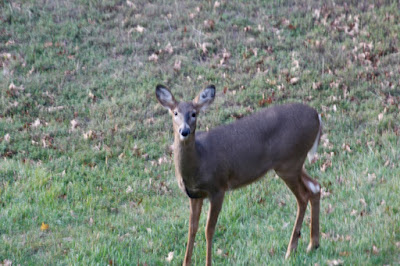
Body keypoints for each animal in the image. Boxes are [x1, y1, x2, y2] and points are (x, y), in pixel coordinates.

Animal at [155, 84, 324, 264]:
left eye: (194, 113)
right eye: (175, 113)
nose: (184, 131)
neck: (199, 161)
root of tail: (317, 116)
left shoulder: (218, 187)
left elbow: (209, 230)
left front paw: (208, 263)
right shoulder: (195, 195)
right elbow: (192, 228)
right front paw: (186, 263)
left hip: (289, 162)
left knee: (303, 197)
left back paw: (291, 251)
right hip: (294, 164)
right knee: (315, 187)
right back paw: (312, 244)